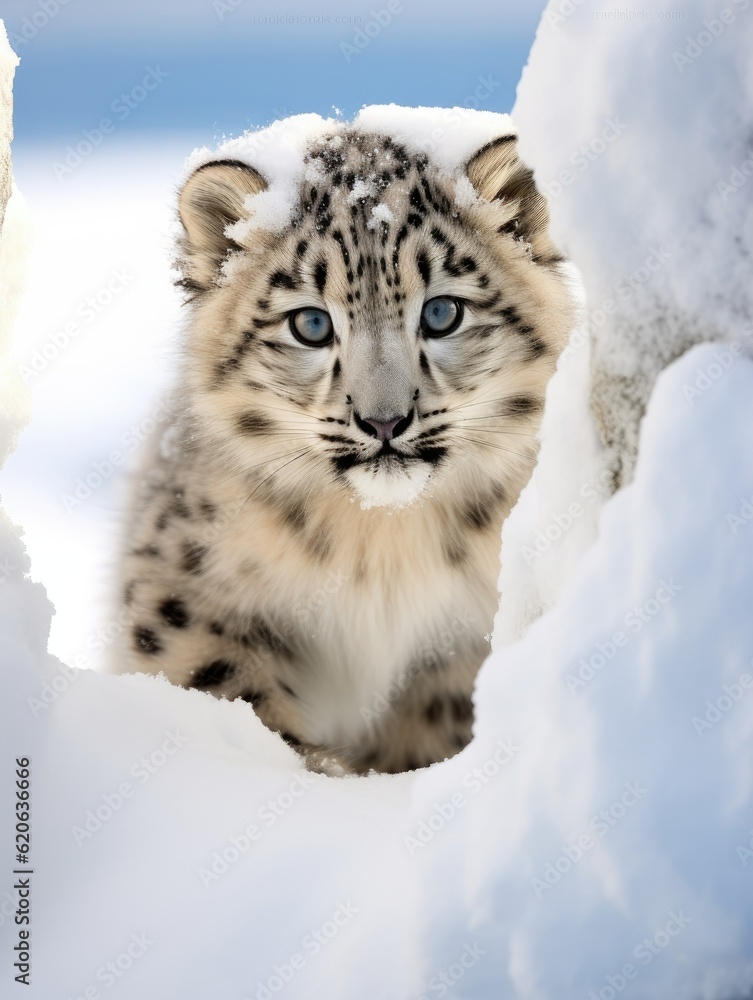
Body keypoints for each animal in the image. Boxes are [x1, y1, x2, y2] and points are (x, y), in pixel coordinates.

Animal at [112, 110, 575, 775]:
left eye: (442, 313)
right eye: (310, 324)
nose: (384, 422)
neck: (382, 548)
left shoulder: (469, 632)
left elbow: (439, 716)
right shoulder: (184, 591)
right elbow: (221, 681)